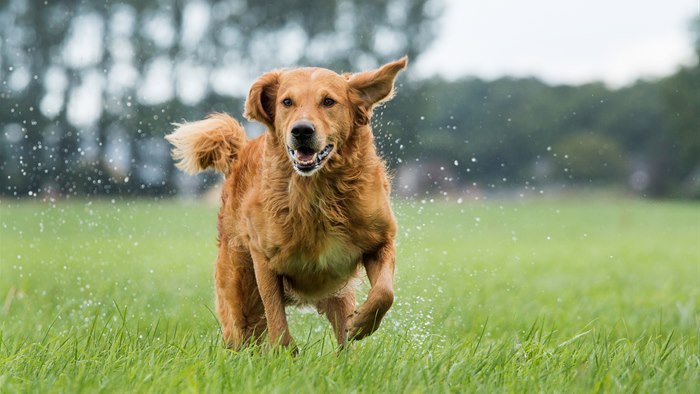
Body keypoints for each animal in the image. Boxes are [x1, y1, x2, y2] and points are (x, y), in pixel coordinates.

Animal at [165, 57, 404, 350]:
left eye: (328, 101)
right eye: (287, 102)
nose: (301, 130)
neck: (317, 193)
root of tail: (240, 154)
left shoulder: (380, 240)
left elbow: (384, 292)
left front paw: (361, 324)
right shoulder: (264, 260)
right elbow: (276, 317)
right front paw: (287, 353)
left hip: (337, 294)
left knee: (342, 338)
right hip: (239, 295)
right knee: (242, 333)